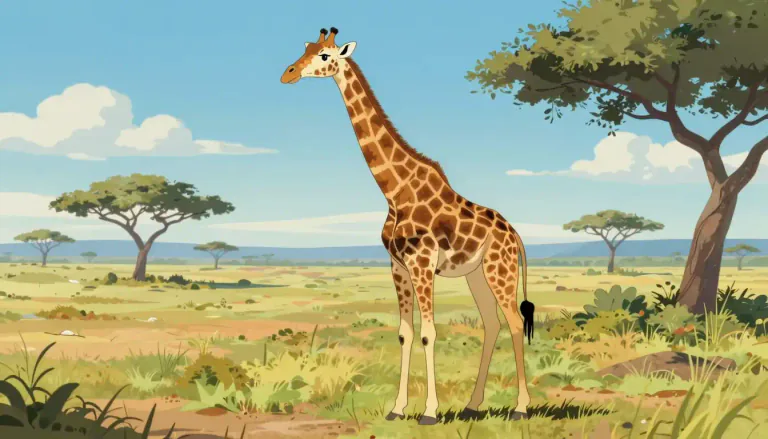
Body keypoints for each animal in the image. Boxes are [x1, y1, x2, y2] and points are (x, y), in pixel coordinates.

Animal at [280, 27, 536, 425]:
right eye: (305, 48)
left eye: (325, 55)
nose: (288, 73)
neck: (394, 191)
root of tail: (516, 235)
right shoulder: (398, 265)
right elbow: (405, 332)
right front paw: (397, 409)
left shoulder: (422, 264)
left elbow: (429, 332)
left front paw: (429, 412)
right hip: (475, 274)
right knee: (492, 323)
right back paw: (472, 404)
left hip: (500, 270)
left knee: (512, 322)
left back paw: (521, 407)